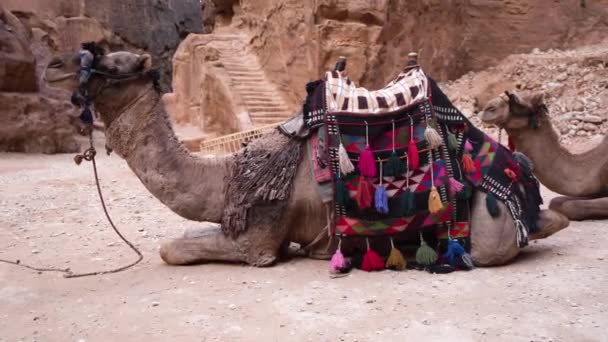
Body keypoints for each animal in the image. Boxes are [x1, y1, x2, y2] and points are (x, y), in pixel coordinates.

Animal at [44, 45, 568, 268]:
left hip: (488, 229)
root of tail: (526, 199)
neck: (226, 177)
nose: (51, 64)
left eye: (115, 62)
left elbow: (175, 249)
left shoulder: (257, 239)